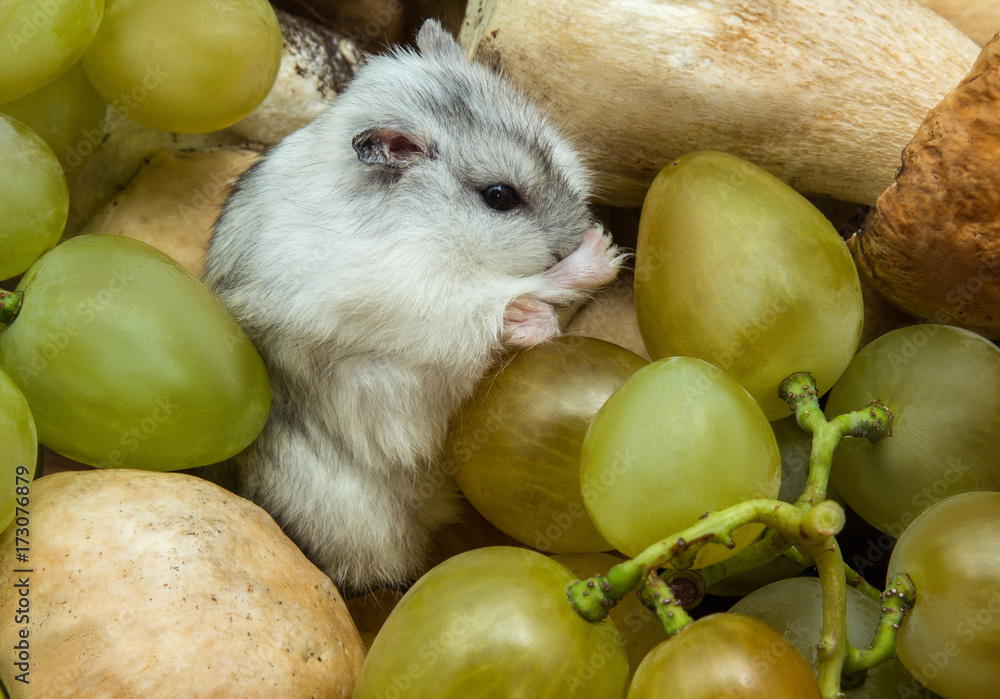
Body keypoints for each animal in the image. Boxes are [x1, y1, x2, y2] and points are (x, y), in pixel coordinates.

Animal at [203, 19, 624, 594]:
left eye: (555, 157)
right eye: (498, 196)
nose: (579, 234)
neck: (422, 223)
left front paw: (604, 247)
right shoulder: (402, 299)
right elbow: (499, 299)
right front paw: (589, 267)